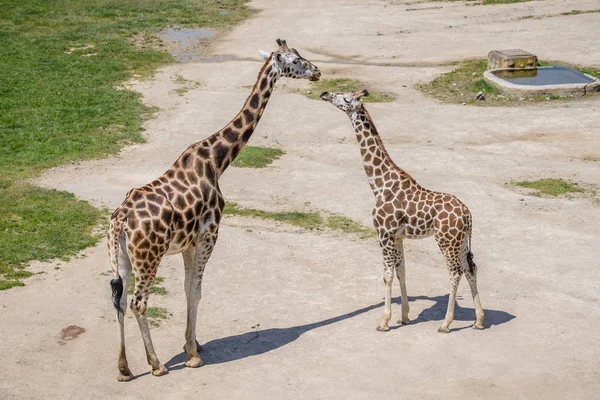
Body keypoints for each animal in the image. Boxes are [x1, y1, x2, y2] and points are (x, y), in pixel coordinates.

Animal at [109, 39, 322, 380]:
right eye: (295, 60)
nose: (317, 71)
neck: (217, 161)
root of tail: (121, 220)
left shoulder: (188, 242)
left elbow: (187, 288)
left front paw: (192, 343)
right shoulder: (210, 234)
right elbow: (196, 290)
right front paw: (193, 356)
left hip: (121, 258)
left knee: (117, 300)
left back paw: (125, 369)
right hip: (149, 257)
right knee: (138, 303)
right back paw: (156, 365)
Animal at [322, 90, 486, 334]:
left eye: (346, 99)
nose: (325, 93)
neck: (379, 184)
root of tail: (467, 215)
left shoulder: (383, 233)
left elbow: (387, 275)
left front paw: (384, 322)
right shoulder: (398, 236)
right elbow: (401, 271)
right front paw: (405, 317)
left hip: (446, 241)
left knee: (455, 272)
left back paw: (446, 324)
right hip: (462, 241)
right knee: (470, 268)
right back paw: (479, 321)